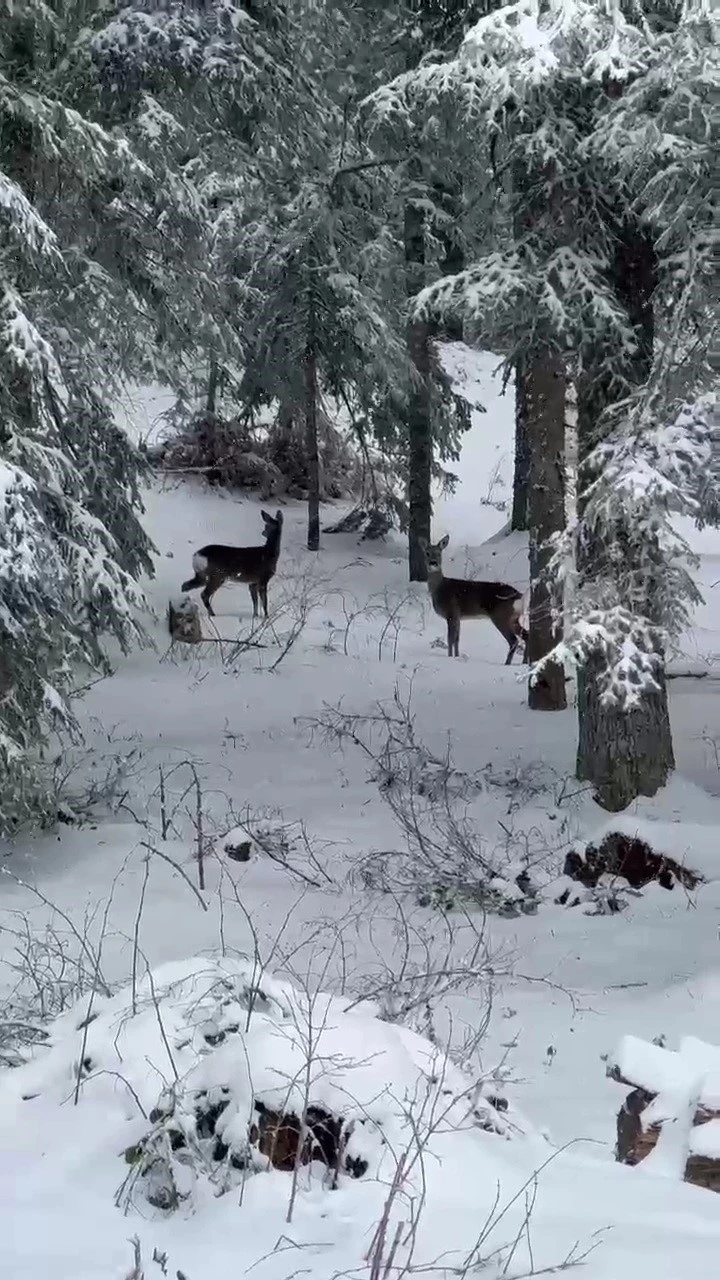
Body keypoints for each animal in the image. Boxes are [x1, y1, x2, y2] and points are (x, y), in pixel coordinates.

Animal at [415, 535, 527, 665]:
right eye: (427, 553)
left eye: (438, 553)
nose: (433, 563)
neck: (440, 588)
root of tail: (519, 595)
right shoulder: (458, 616)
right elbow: (457, 639)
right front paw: (456, 657)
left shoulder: (451, 612)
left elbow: (450, 639)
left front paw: (449, 657)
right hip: (514, 618)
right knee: (527, 636)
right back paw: (524, 663)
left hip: (500, 615)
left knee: (514, 641)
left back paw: (507, 664)